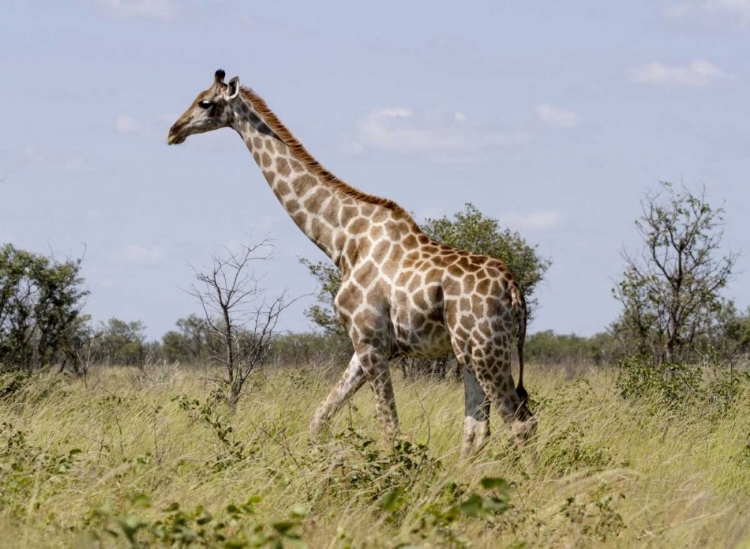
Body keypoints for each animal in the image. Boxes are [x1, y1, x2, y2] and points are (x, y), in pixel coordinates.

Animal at [167, 68, 536, 454]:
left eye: (205, 103)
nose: (173, 131)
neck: (343, 241)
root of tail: (514, 290)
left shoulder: (371, 340)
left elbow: (390, 431)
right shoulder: (364, 345)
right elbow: (318, 420)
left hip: (485, 349)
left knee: (521, 423)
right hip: (469, 353)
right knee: (477, 429)